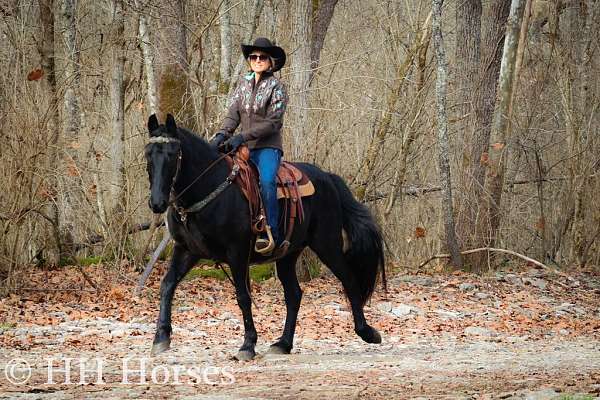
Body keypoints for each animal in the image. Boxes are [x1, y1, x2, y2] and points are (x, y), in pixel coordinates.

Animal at [148, 114, 386, 360]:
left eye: (172, 154)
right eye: (148, 153)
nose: (157, 203)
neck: (209, 188)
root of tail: (327, 178)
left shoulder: (237, 252)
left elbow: (243, 296)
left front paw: (247, 345)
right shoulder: (186, 250)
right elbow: (167, 285)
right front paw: (161, 338)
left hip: (327, 245)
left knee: (349, 279)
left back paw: (367, 332)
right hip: (288, 253)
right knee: (294, 295)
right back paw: (283, 343)